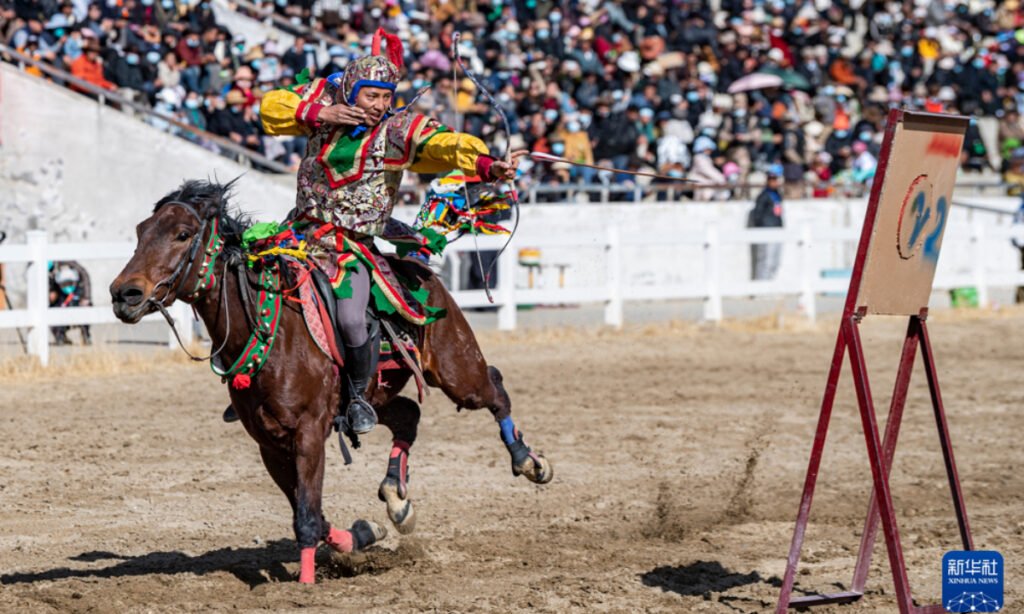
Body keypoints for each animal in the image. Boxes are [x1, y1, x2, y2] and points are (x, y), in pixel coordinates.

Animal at [110, 180, 552, 583]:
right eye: (140, 231)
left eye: (183, 234)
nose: (123, 293)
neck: (272, 329)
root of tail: (417, 265)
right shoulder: (270, 444)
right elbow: (313, 515)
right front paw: (362, 536)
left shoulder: (308, 434)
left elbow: (307, 516)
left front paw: (306, 584)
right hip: (374, 397)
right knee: (408, 415)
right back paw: (397, 500)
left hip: (456, 370)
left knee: (494, 388)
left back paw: (528, 461)